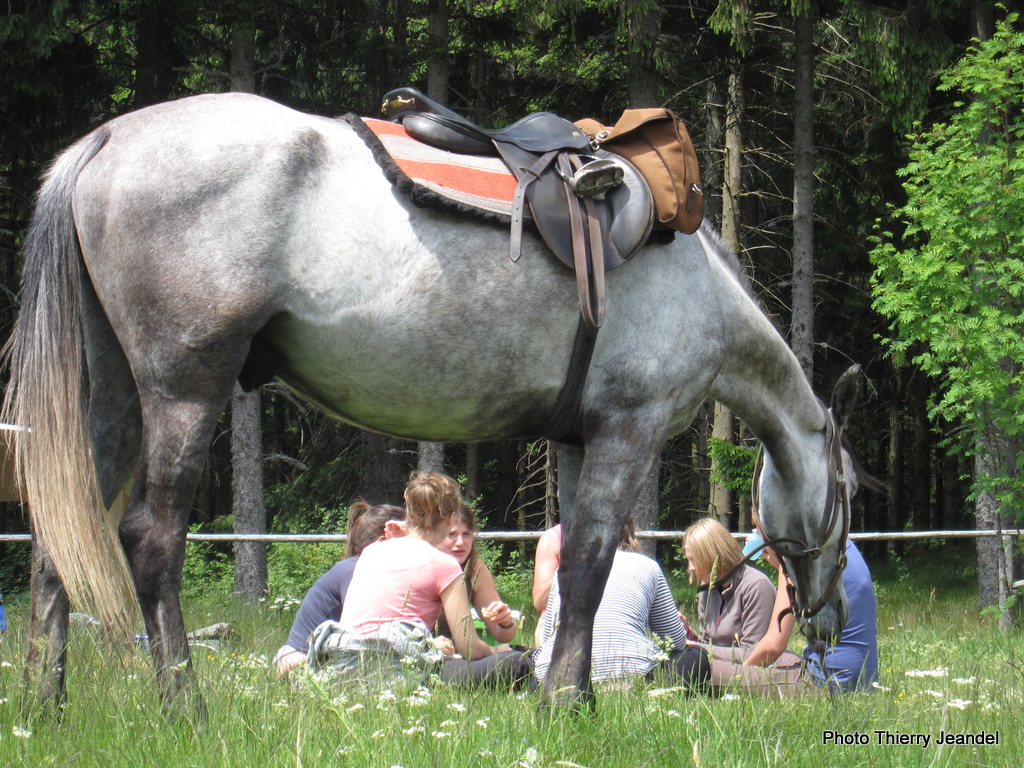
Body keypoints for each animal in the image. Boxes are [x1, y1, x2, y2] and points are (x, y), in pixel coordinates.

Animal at [4, 93, 868, 712]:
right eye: (849, 493)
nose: (825, 621)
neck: (698, 284)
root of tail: (103, 142)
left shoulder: (579, 437)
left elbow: (573, 570)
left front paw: (571, 692)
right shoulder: (630, 429)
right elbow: (592, 565)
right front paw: (567, 703)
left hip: (109, 399)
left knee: (58, 541)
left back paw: (46, 706)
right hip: (184, 388)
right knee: (150, 542)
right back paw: (184, 706)